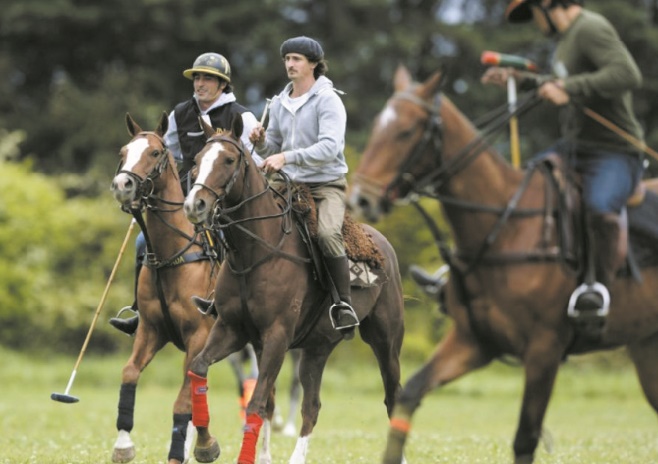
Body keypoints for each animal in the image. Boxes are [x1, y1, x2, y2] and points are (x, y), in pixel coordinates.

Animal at [109, 113, 218, 464]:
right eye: (123, 151)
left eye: (155, 152)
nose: (122, 185)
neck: (173, 256)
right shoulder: (151, 330)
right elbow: (129, 373)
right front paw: (123, 444)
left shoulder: (198, 336)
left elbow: (183, 402)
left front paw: (186, 451)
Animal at [181, 114, 404, 462]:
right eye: (197, 160)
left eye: (228, 160)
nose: (195, 205)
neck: (255, 253)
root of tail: (383, 247)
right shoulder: (231, 330)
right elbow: (199, 369)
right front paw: (205, 445)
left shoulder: (277, 336)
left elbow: (256, 402)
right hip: (317, 348)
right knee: (311, 406)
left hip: (386, 341)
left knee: (393, 398)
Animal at [348, 66, 658, 464]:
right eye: (376, 126)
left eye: (406, 131)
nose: (361, 198)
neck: (504, 227)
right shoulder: (473, 341)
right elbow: (409, 394)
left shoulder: (544, 349)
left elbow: (525, 438)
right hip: (646, 346)